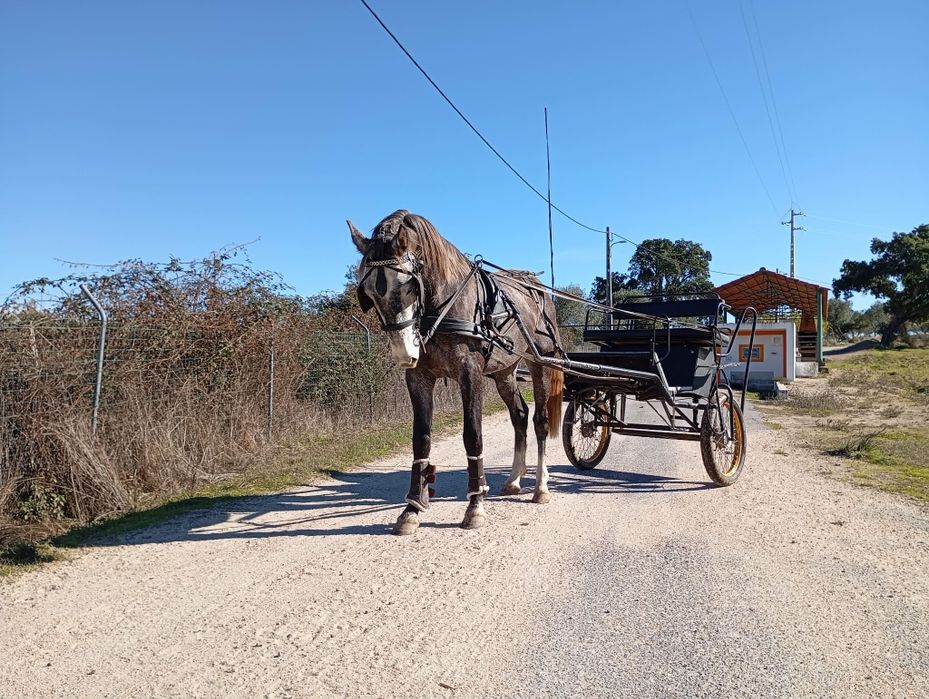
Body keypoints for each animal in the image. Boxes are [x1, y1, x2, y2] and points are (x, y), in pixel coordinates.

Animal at [348, 210, 564, 535]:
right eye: (370, 293)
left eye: (409, 286)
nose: (404, 353)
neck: (441, 306)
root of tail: (535, 286)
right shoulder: (418, 377)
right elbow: (421, 439)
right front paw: (411, 508)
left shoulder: (469, 373)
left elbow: (473, 435)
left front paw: (475, 505)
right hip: (506, 371)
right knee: (520, 416)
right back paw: (514, 479)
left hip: (540, 363)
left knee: (539, 421)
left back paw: (540, 486)